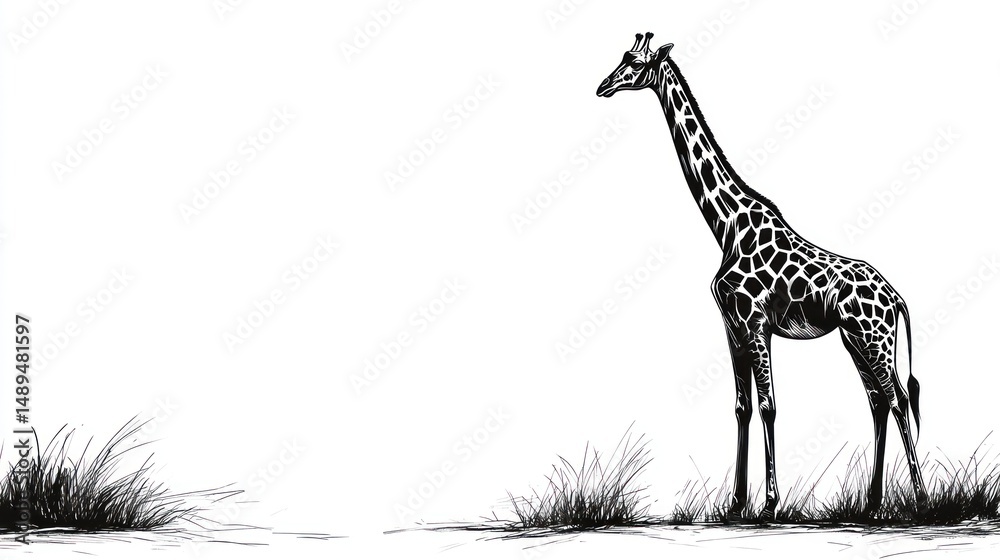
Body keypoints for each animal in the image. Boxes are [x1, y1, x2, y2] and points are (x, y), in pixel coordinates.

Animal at [596, 32, 927, 520]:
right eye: (621, 57)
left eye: (635, 64)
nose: (603, 86)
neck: (726, 224)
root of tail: (898, 298)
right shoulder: (732, 324)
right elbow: (742, 407)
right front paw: (735, 503)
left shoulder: (755, 322)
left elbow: (769, 406)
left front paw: (770, 503)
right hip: (855, 341)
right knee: (878, 402)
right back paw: (871, 504)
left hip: (874, 341)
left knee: (899, 400)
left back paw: (920, 500)